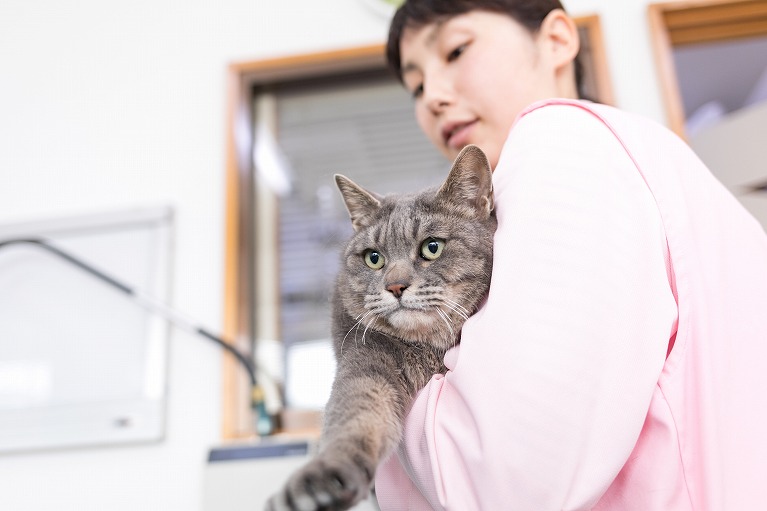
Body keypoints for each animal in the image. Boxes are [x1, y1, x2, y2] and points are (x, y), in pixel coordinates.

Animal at [268, 144, 498, 511]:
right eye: (373, 258)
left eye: (432, 247)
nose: (395, 286)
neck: (429, 348)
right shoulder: (366, 356)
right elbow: (358, 411)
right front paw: (321, 478)